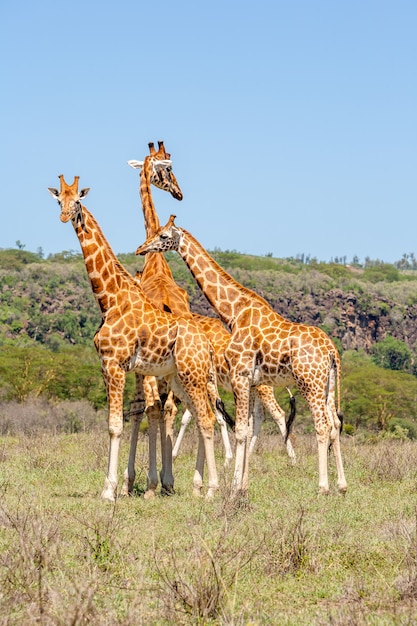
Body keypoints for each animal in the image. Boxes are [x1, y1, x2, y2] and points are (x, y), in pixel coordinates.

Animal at [47, 176, 223, 502]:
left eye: (77, 200)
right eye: (58, 200)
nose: (65, 216)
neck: (110, 298)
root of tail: (205, 343)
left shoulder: (113, 364)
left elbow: (115, 425)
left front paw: (109, 490)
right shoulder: (116, 367)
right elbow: (131, 417)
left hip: (191, 375)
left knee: (205, 418)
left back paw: (211, 490)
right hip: (180, 378)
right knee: (200, 416)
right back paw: (201, 487)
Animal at [136, 217, 348, 494]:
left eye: (163, 236)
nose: (140, 249)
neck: (235, 311)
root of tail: (332, 351)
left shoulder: (239, 375)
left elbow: (238, 430)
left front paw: (235, 486)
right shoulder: (250, 381)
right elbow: (244, 429)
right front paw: (243, 484)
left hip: (309, 382)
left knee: (321, 425)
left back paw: (322, 486)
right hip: (327, 385)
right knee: (334, 424)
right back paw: (342, 485)